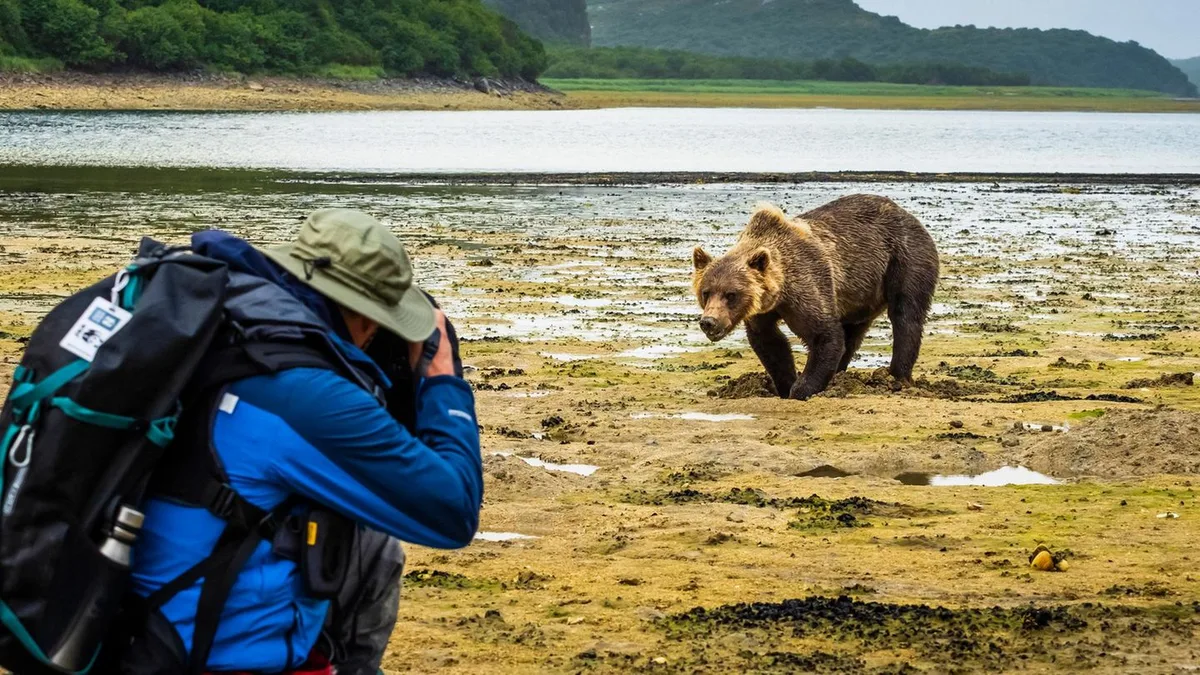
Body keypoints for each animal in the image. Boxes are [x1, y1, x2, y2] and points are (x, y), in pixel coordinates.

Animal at [692, 194, 939, 400]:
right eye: (706, 292)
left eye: (731, 294)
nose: (709, 322)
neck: (780, 289)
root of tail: (909, 215)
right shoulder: (762, 310)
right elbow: (770, 342)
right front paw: (786, 384)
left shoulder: (806, 283)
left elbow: (825, 334)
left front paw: (800, 389)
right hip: (861, 293)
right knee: (853, 331)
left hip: (905, 258)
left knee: (905, 315)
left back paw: (896, 376)